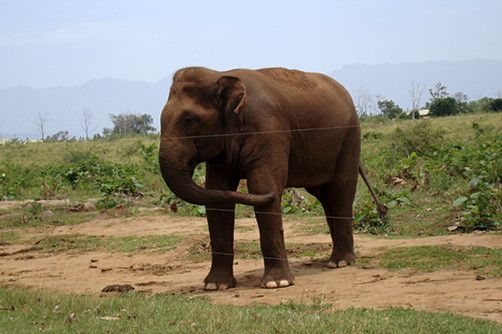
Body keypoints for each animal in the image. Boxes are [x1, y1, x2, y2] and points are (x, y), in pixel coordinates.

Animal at [159, 66, 386, 290]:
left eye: (190, 121)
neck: (219, 74)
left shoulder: (269, 130)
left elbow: (261, 186)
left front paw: (277, 283)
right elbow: (217, 196)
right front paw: (215, 286)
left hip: (351, 136)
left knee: (341, 189)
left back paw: (341, 262)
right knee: (324, 195)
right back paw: (334, 260)